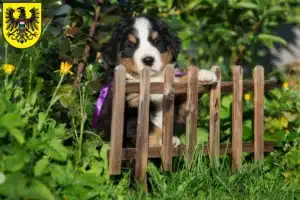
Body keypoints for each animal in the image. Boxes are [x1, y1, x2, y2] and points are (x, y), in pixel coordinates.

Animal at [95, 15, 217, 148]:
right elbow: (150, 128)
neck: (153, 79)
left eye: (157, 41)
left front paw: (204, 74)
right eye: (131, 45)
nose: (148, 60)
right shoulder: (129, 110)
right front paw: (164, 140)